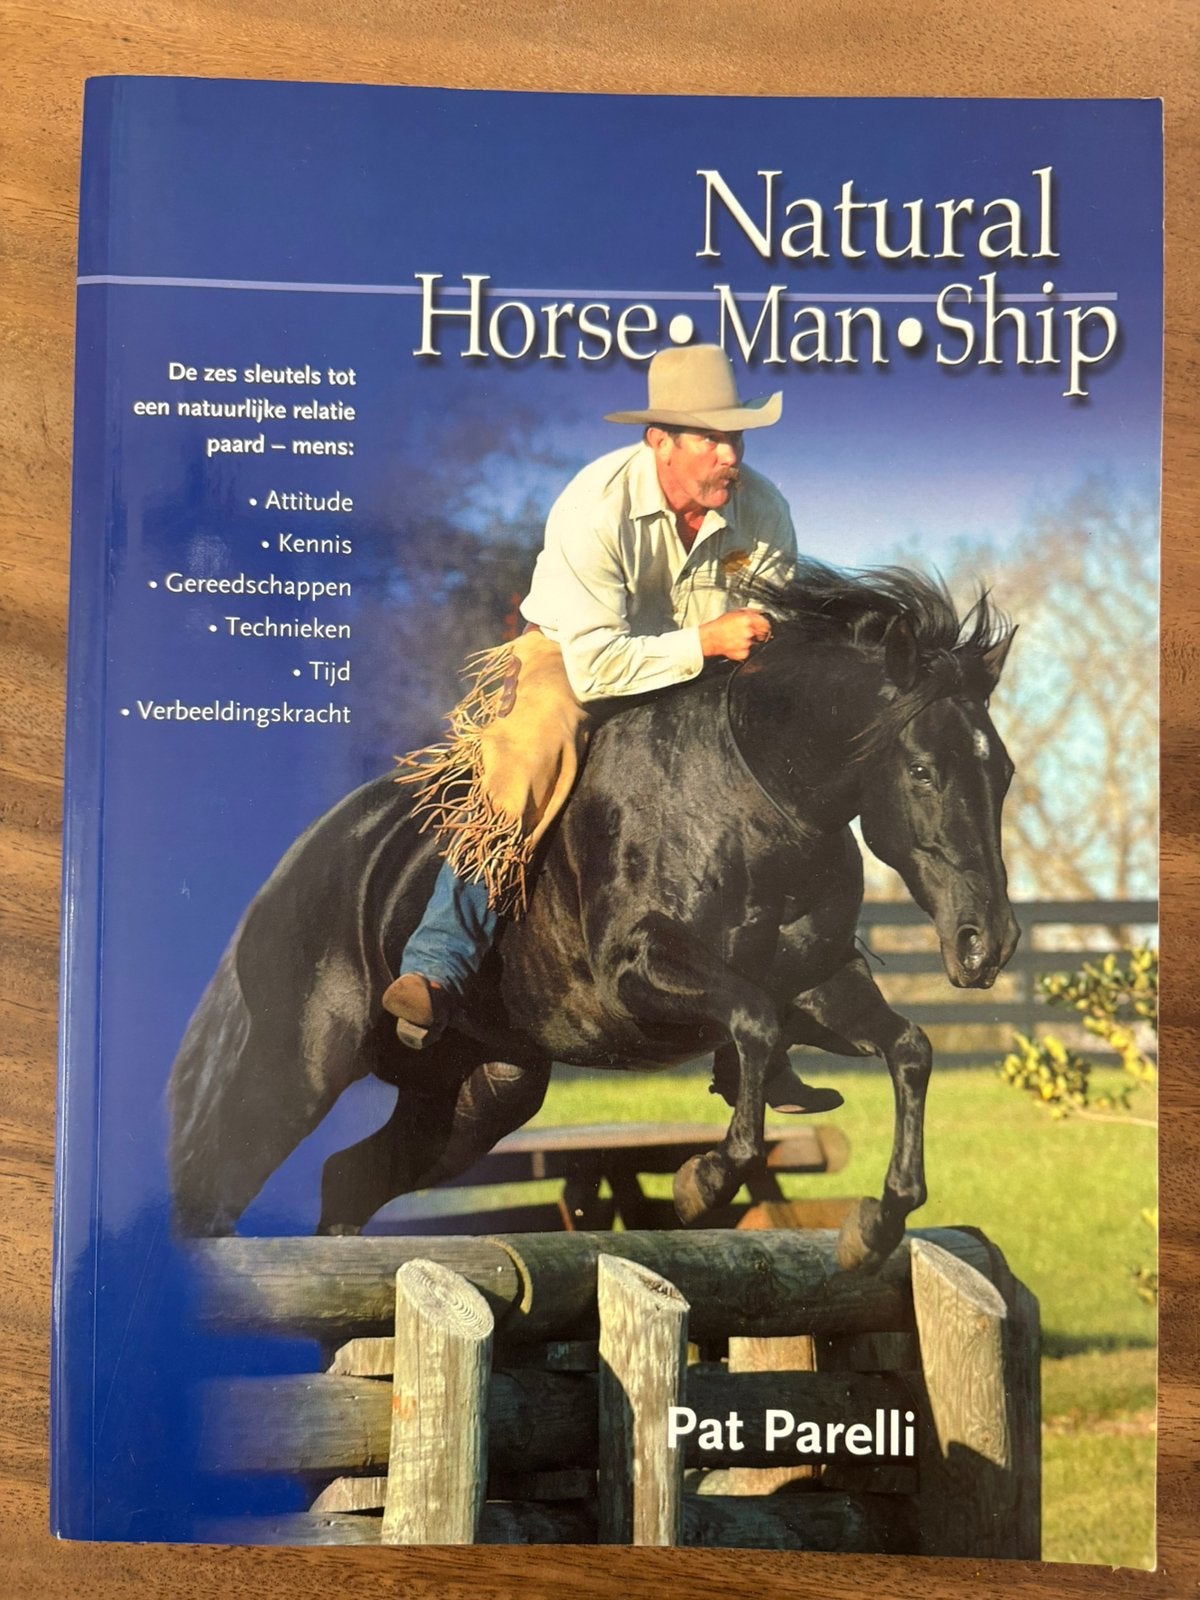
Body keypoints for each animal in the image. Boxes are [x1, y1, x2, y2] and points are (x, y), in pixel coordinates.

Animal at [168, 560, 1019, 1270]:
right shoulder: (639, 976)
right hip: (300, 1066)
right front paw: (702, 1183)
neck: (758, 797)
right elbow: (752, 1023)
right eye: (922, 770)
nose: (988, 943)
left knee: (348, 1179)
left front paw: (876, 1224)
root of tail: (297, 863)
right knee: (216, 1186)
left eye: (1003, 771)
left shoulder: (818, 983)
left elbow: (907, 1049)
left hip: (483, 1093)